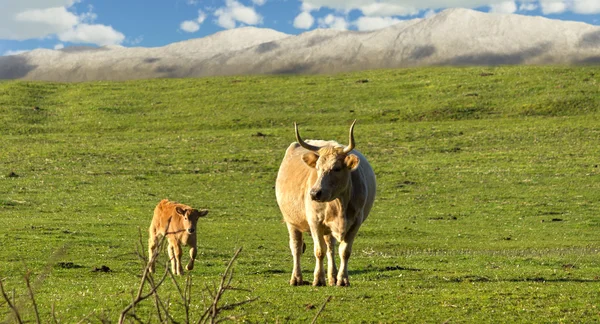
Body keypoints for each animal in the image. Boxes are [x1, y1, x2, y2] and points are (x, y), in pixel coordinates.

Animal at [276, 121, 376, 286]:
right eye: (317, 168)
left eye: (336, 168)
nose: (314, 193)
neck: (339, 203)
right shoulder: (314, 222)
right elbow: (319, 251)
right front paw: (318, 279)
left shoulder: (356, 222)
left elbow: (344, 251)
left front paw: (342, 279)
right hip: (291, 221)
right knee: (296, 247)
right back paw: (296, 278)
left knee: (330, 247)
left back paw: (333, 276)